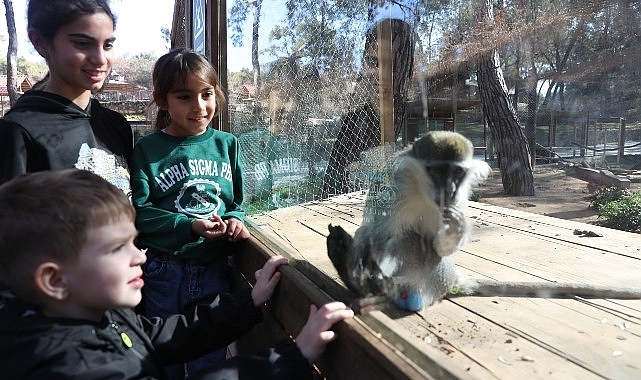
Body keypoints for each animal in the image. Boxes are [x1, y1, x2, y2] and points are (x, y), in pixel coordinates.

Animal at [328, 131, 640, 312]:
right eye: (437, 172)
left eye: (456, 174)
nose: (449, 191)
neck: (420, 189)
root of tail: (448, 281)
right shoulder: (395, 184)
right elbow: (374, 231)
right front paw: (357, 265)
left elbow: (437, 246)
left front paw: (456, 230)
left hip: (432, 279)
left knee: (414, 244)